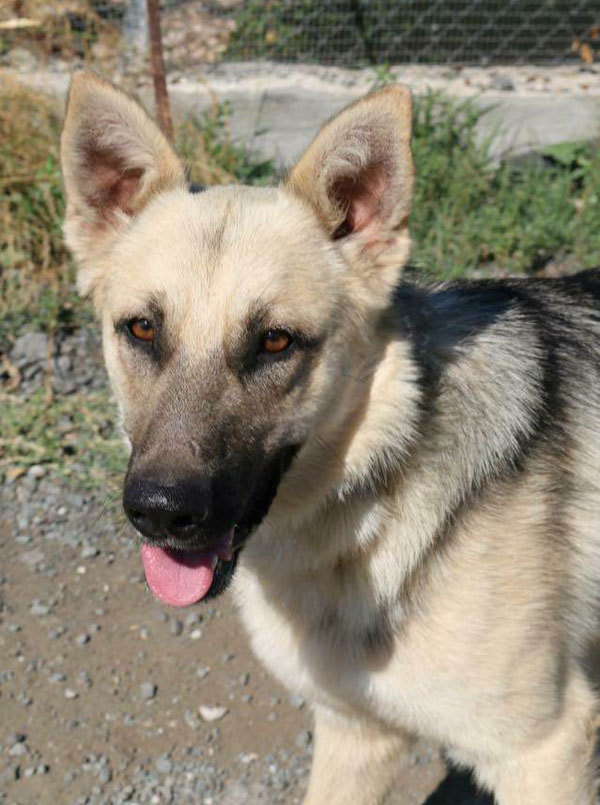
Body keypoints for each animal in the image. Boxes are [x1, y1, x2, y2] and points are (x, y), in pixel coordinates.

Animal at [61, 72, 600, 800]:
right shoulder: (356, 731)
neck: (382, 485)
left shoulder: (546, 750)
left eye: (276, 341)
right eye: (142, 329)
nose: (161, 513)